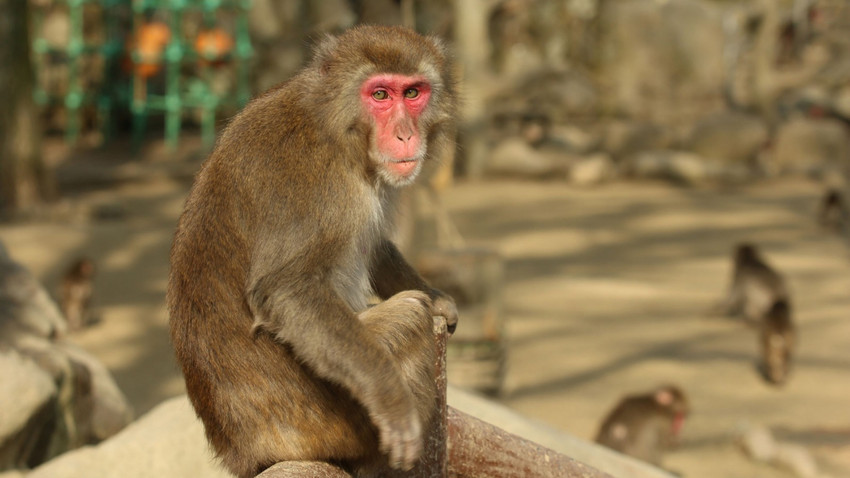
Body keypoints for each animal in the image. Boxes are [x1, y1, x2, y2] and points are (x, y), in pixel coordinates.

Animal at [166, 25, 458, 478]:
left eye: (413, 92)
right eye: (380, 95)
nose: (406, 134)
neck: (338, 130)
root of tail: (241, 450)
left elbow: (372, 246)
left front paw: (439, 297)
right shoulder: (310, 177)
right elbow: (287, 289)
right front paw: (390, 395)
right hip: (326, 425)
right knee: (410, 317)